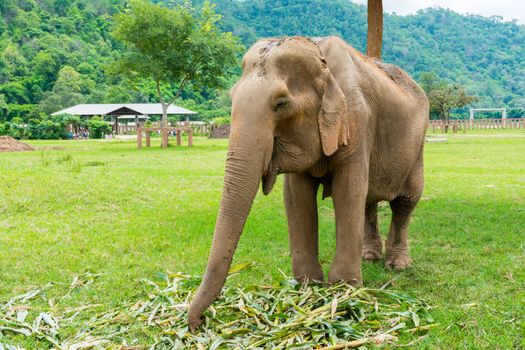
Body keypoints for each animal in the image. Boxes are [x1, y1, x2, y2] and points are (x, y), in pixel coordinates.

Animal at [186, 37, 428, 330]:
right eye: (231, 98)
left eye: (281, 103)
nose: (198, 322)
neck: (319, 54)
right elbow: (297, 197)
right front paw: (308, 285)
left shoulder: (358, 121)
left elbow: (348, 192)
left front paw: (343, 289)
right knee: (369, 200)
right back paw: (368, 257)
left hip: (418, 145)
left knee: (405, 200)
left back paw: (397, 265)